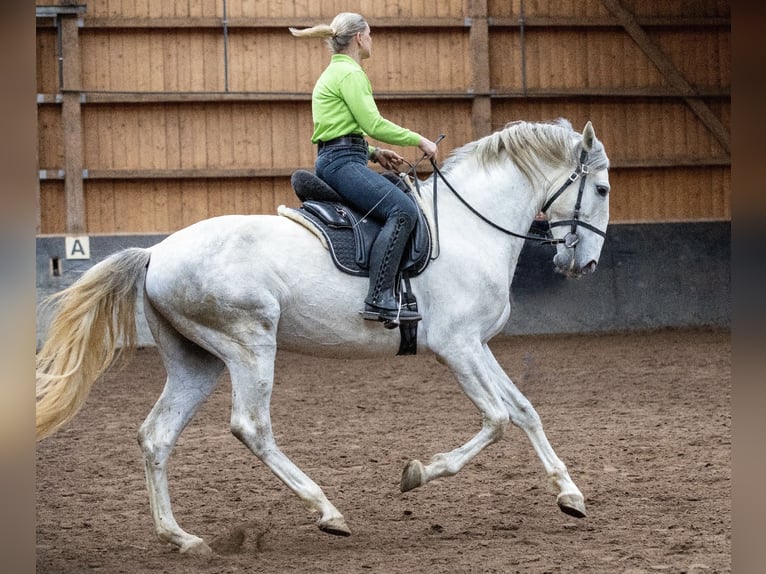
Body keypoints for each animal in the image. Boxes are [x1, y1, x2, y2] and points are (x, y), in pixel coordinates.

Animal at [36, 119, 612, 556]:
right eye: (603, 189)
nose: (584, 265)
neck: (471, 229)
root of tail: (156, 252)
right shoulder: (457, 348)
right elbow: (495, 420)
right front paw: (417, 473)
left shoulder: (479, 345)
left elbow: (524, 411)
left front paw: (570, 495)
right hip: (250, 346)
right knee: (251, 427)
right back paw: (327, 511)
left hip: (197, 361)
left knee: (156, 435)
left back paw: (182, 538)